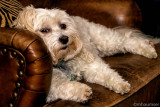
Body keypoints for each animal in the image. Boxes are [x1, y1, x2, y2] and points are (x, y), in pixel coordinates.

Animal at [12, 5, 159, 103]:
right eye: (44, 30)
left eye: (63, 26)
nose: (65, 38)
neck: (61, 61)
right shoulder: (49, 90)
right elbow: (63, 86)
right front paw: (82, 91)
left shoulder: (91, 65)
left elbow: (107, 73)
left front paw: (120, 84)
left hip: (106, 41)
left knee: (128, 41)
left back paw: (148, 48)